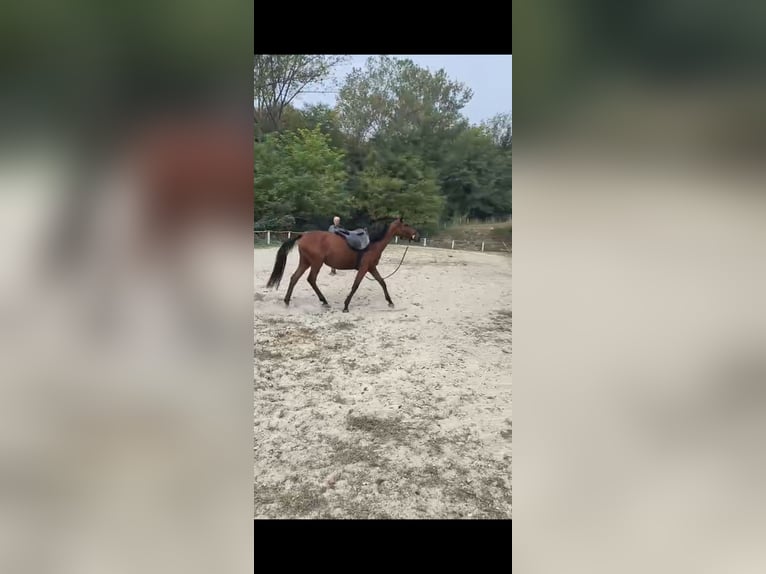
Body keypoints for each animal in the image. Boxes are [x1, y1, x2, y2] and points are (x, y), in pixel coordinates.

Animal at [265, 217, 419, 312]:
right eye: (406, 225)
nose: (416, 235)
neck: (373, 243)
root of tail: (303, 235)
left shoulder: (371, 268)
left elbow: (382, 282)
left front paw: (390, 302)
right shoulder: (364, 268)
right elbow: (355, 285)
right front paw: (346, 306)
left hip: (305, 262)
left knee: (294, 278)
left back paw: (287, 302)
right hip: (316, 263)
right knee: (311, 279)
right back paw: (324, 301)